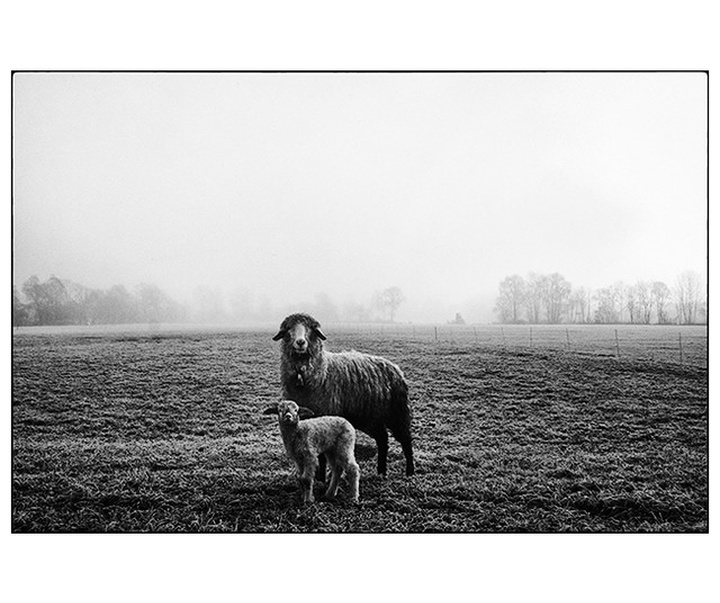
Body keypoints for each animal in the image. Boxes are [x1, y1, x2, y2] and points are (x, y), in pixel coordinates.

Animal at [272, 314, 416, 478]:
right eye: (289, 328)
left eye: (310, 328)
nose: (300, 342)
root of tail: (395, 368)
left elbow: (321, 455)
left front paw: (321, 478)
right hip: (371, 418)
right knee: (382, 439)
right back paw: (381, 471)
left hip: (397, 413)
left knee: (405, 440)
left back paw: (410, 471)